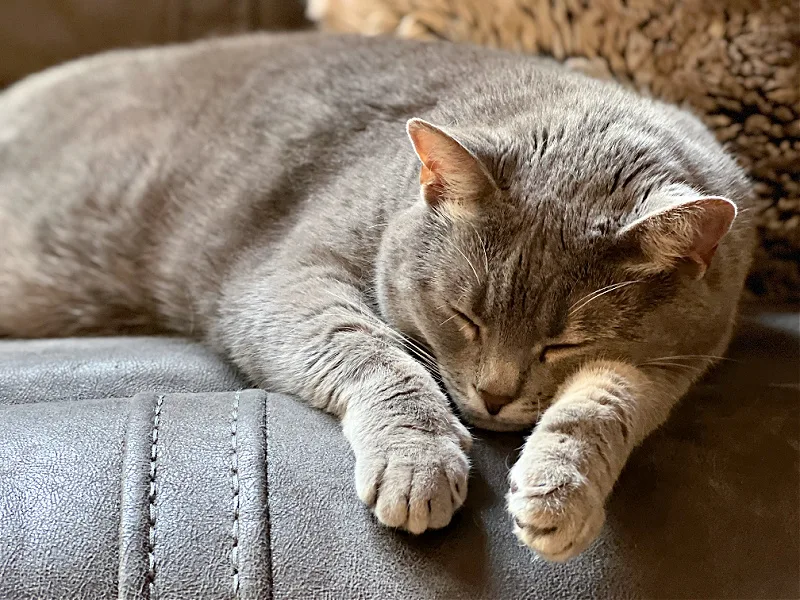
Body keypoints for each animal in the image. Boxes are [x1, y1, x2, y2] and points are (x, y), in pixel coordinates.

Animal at [0, 32, 756, 564]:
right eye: (463, 315)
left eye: (564, 342)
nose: (495, 397)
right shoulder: (284, 279)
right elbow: (374, 353)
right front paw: (419, 461)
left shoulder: (678, 357)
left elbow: (606, 404)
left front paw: (558, 492)